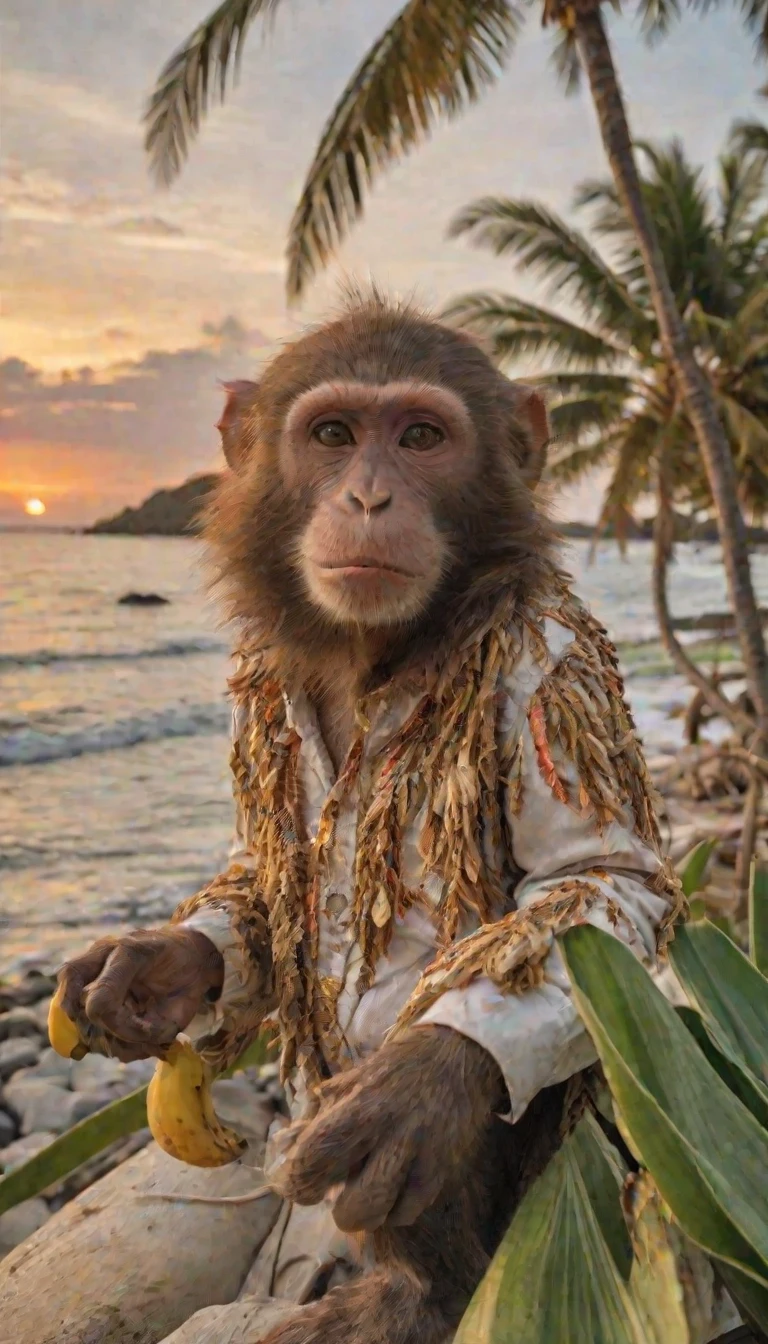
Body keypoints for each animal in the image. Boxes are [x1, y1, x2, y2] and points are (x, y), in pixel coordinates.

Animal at [56, 290, 682, 1344]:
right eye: (334, 435)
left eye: (421, 436)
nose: (369, 499)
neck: (383, 653)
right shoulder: (262, 684)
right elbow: (261, 887)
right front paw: (154, 968)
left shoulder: (554, 668)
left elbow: (602, 889)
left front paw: (418, 1088)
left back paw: (421, 1293)